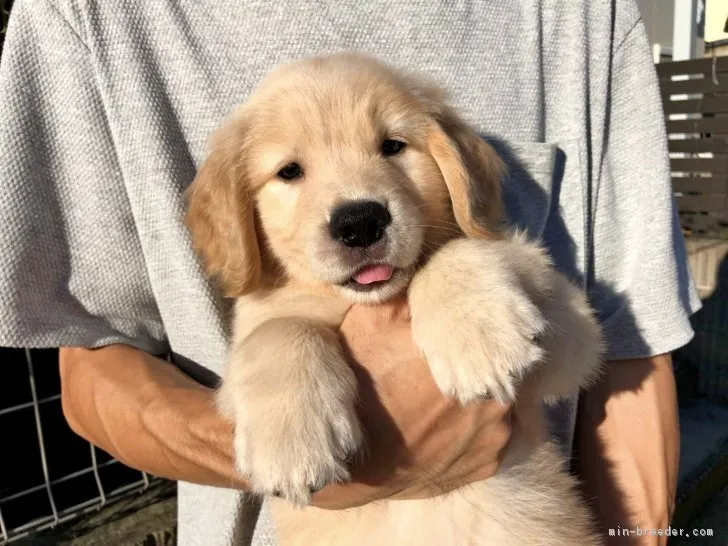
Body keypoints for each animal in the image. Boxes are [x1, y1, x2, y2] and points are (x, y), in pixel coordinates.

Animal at [186, 52, 604, 544]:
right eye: (289, 171)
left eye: (392, 146)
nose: (360, 223)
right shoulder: (254, 327)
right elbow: (278, 331)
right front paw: (291, 441)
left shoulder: (574, 330)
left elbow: (456, 251)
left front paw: (477, 336)